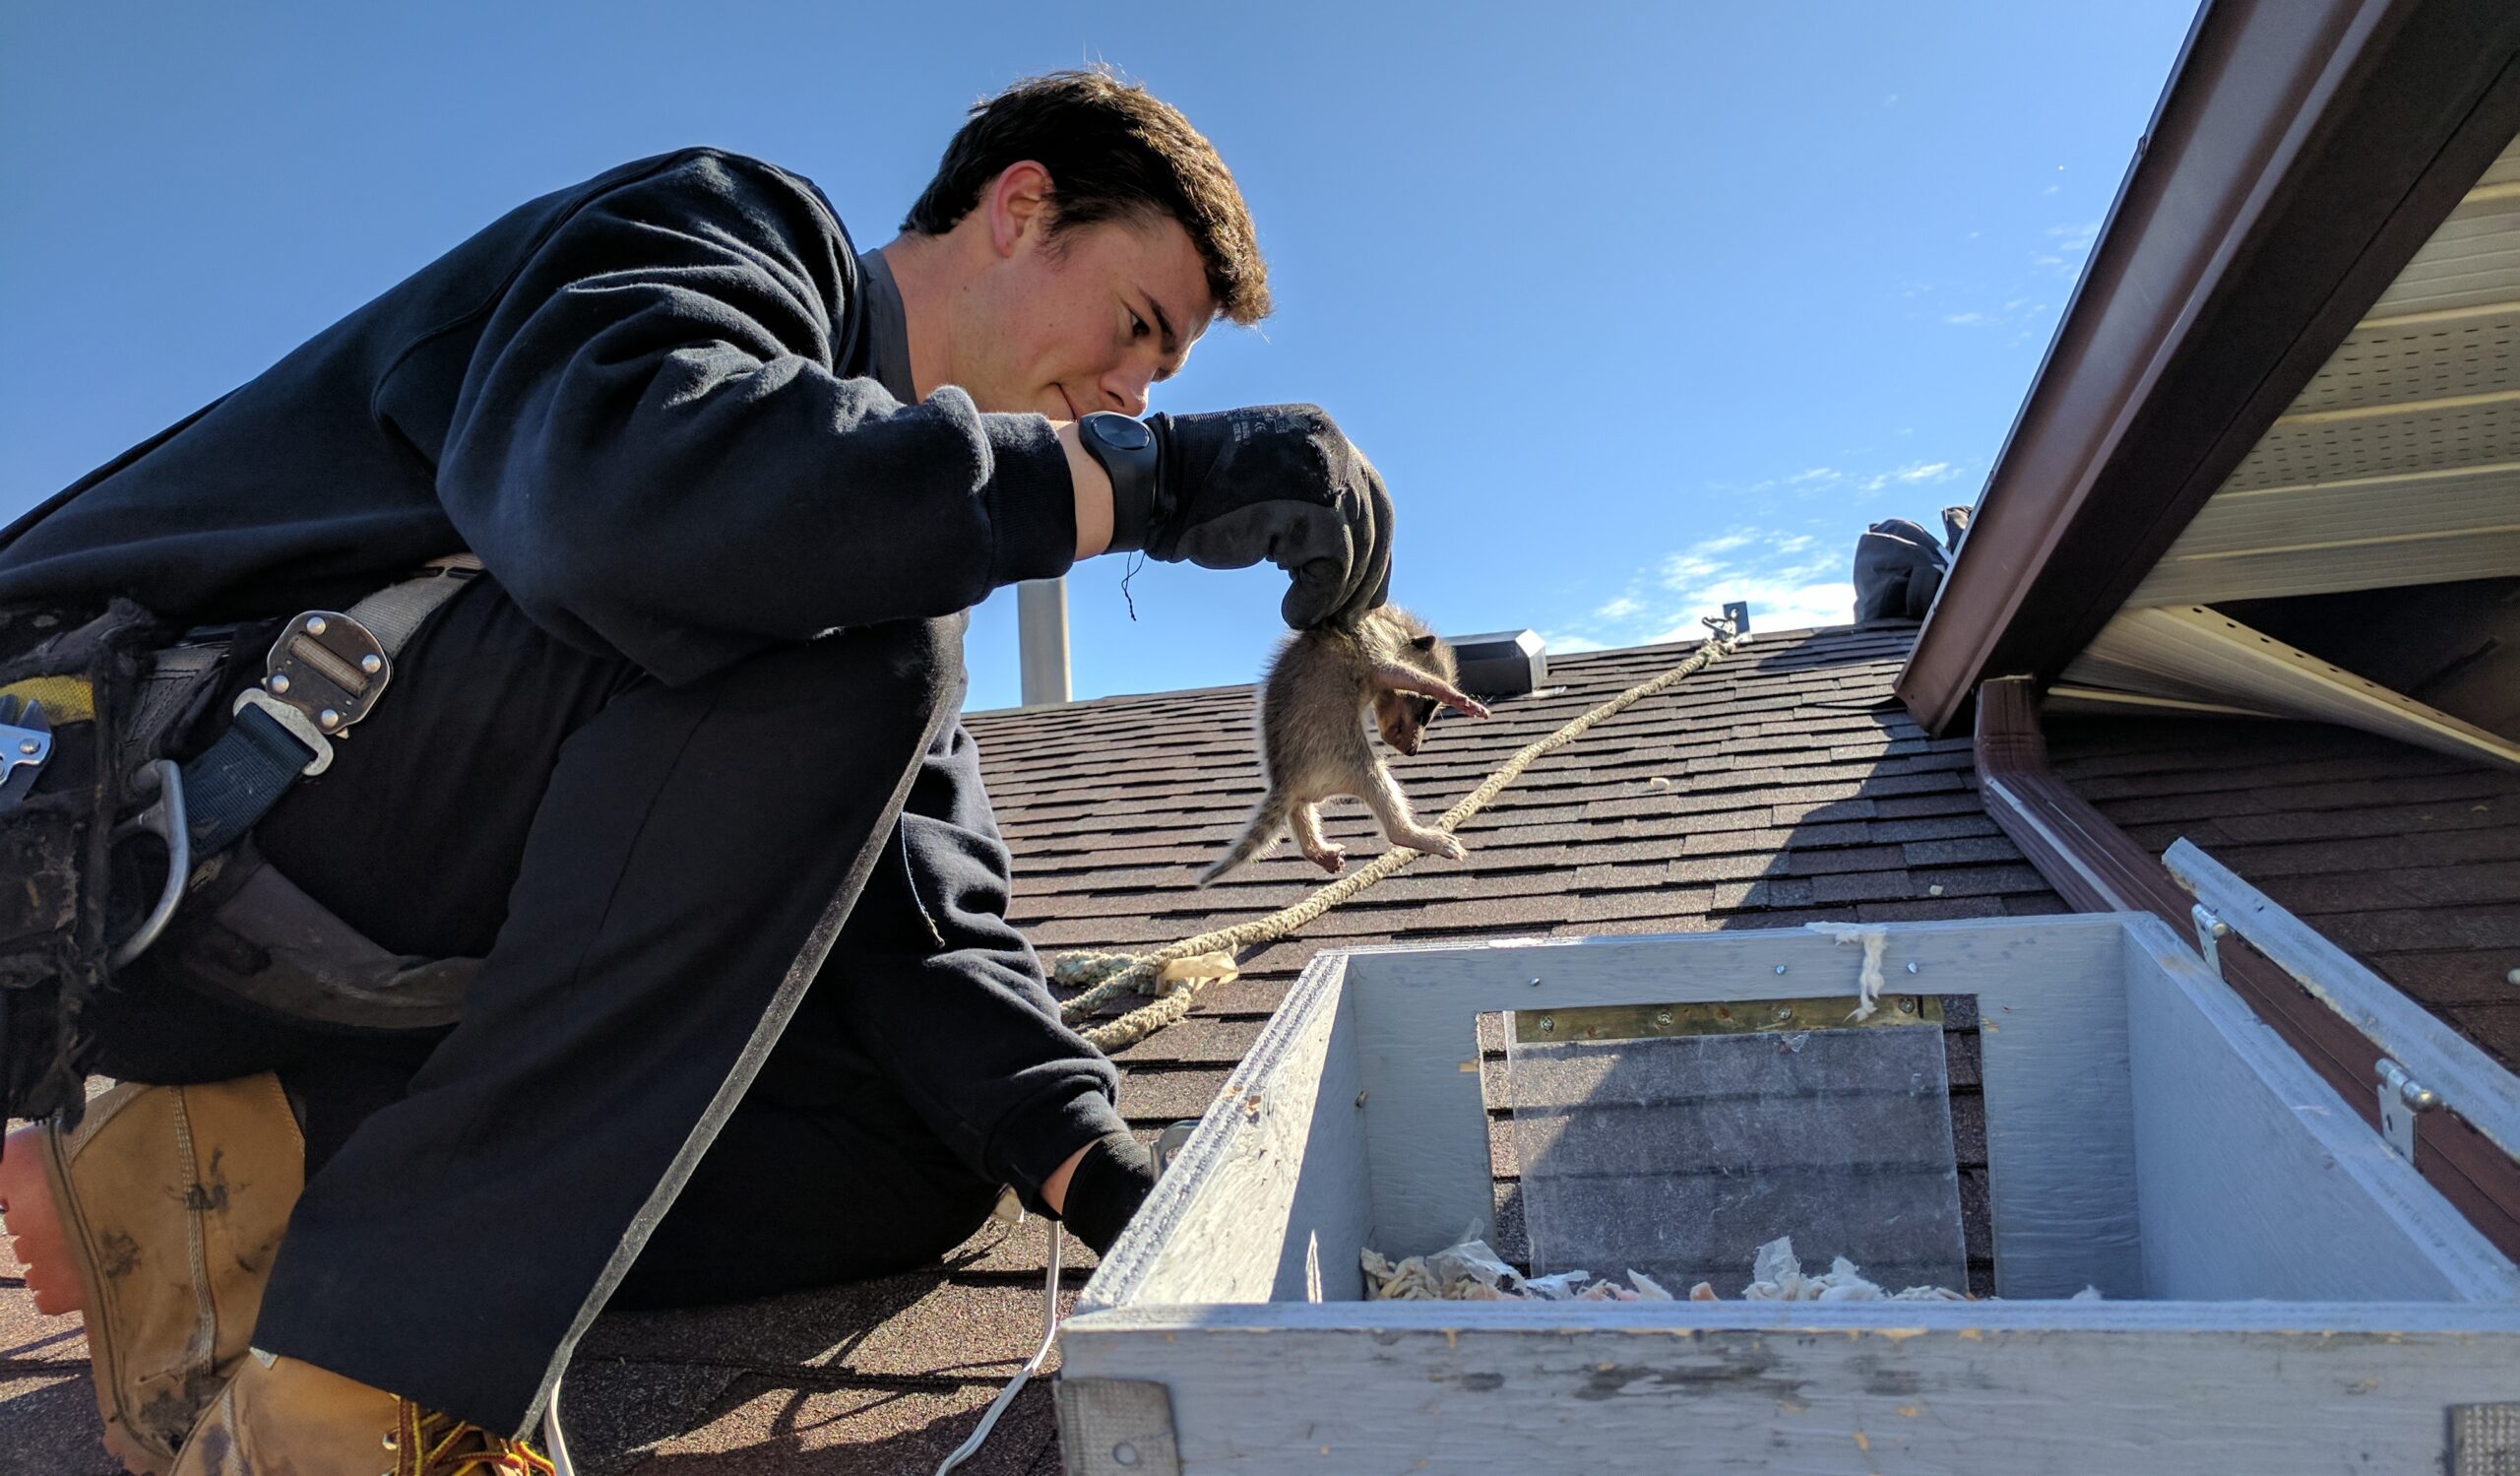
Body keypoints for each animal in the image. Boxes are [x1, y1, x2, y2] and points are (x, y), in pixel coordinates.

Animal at [1194, 599, 1481, 881]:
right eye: (1425, 709)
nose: (1412, 750)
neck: (1394, 626)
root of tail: (1285, 781)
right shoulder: (1372, 644)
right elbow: (1400, 673)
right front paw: (1446, 690)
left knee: (1300, 808)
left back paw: (1313, 846)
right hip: (1338, 755)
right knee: (1374, 778)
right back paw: (1408, 832)